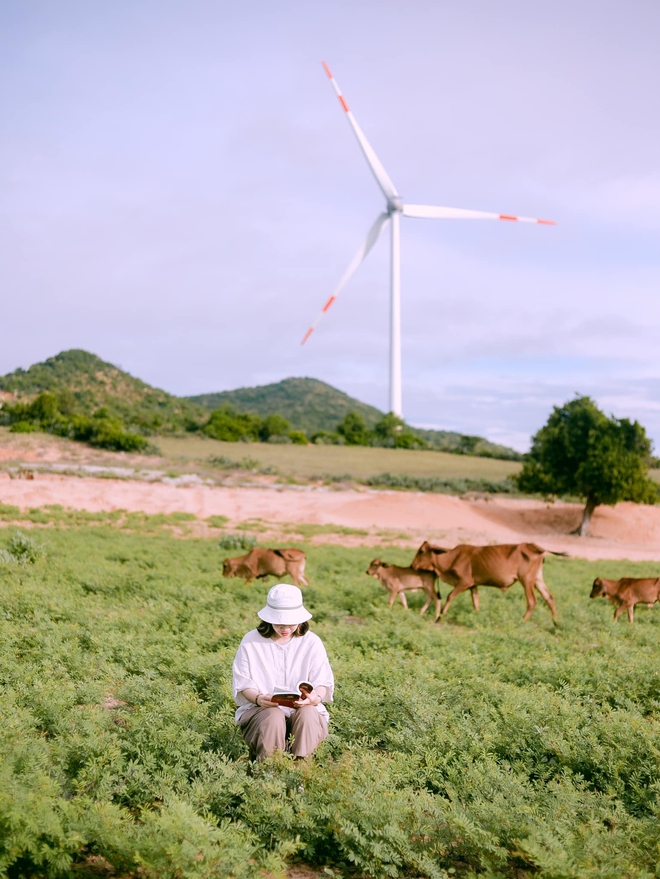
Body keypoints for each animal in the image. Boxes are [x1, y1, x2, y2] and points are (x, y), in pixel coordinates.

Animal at [410, 540, 560, 624]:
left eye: (421, 551)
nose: (411, 566)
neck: (451, 558)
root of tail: (534, 547)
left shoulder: (464, 582)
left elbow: (450, 596)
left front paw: (439, 617)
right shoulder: (473, 585)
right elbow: (476, 602)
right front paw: (477, 616)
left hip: (526, 580)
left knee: (532, 601)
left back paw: (522, 621)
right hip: (537, 579)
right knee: (549, 597)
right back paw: (556, 622)